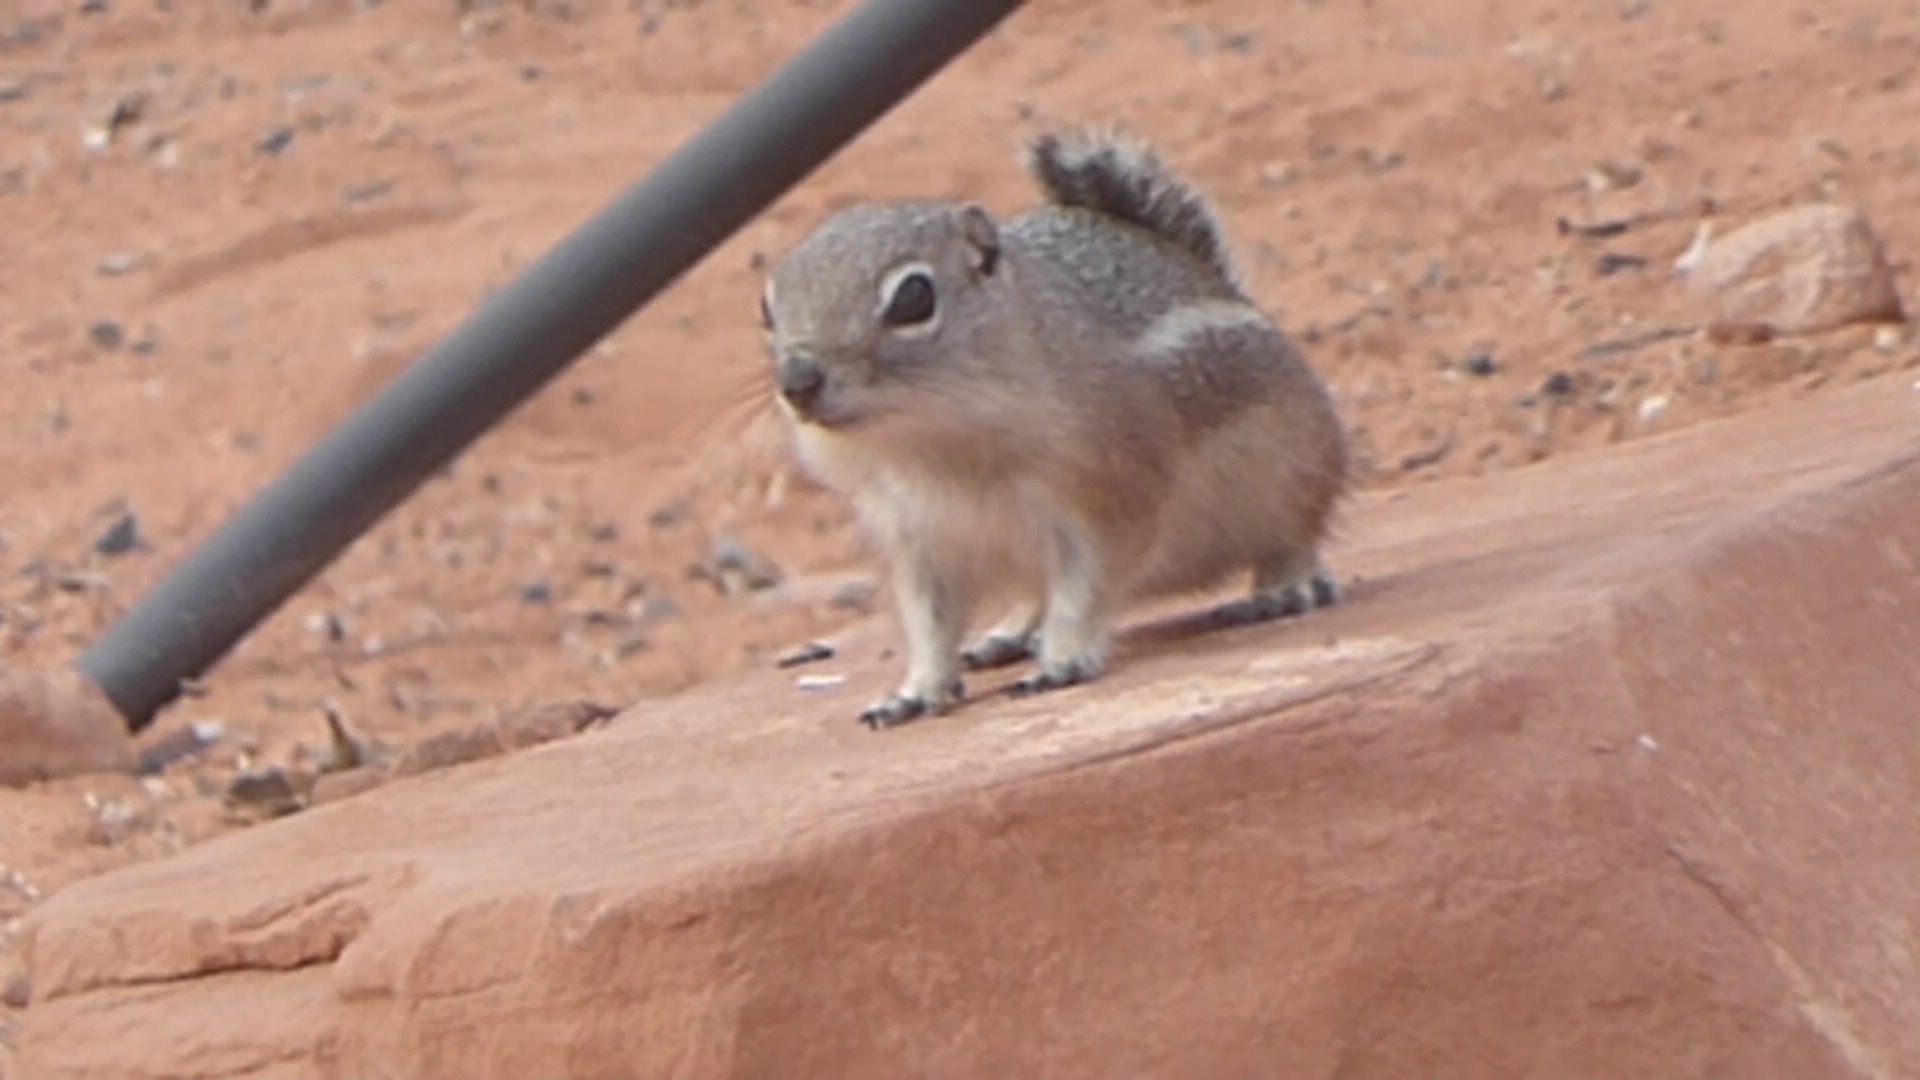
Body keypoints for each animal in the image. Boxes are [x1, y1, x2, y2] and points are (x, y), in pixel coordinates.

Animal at [759, 126, 1350, 729]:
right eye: (767, 310)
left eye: (913, 297)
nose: (798, 380)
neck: (938, 441)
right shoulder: (918, 541)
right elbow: (931, 626)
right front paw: (915, 692)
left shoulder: (1110, 500)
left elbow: (1083, 593)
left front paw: (1062, 660)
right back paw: (1008, 635)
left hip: (1295, 471)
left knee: (1294, 537)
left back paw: (1286, 587)